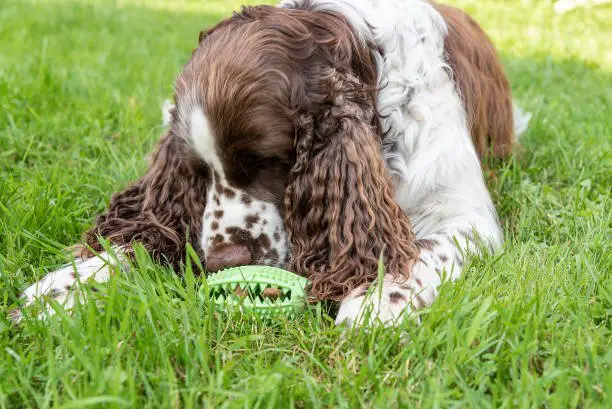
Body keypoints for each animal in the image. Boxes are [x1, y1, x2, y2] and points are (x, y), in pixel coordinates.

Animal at [13, 0, 532, 326]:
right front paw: (66, 285)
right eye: (198, 170)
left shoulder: (463, 212)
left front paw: (379, 296)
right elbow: (148, 236)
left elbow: (424, 248)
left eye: (265, 159)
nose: (222, 262)